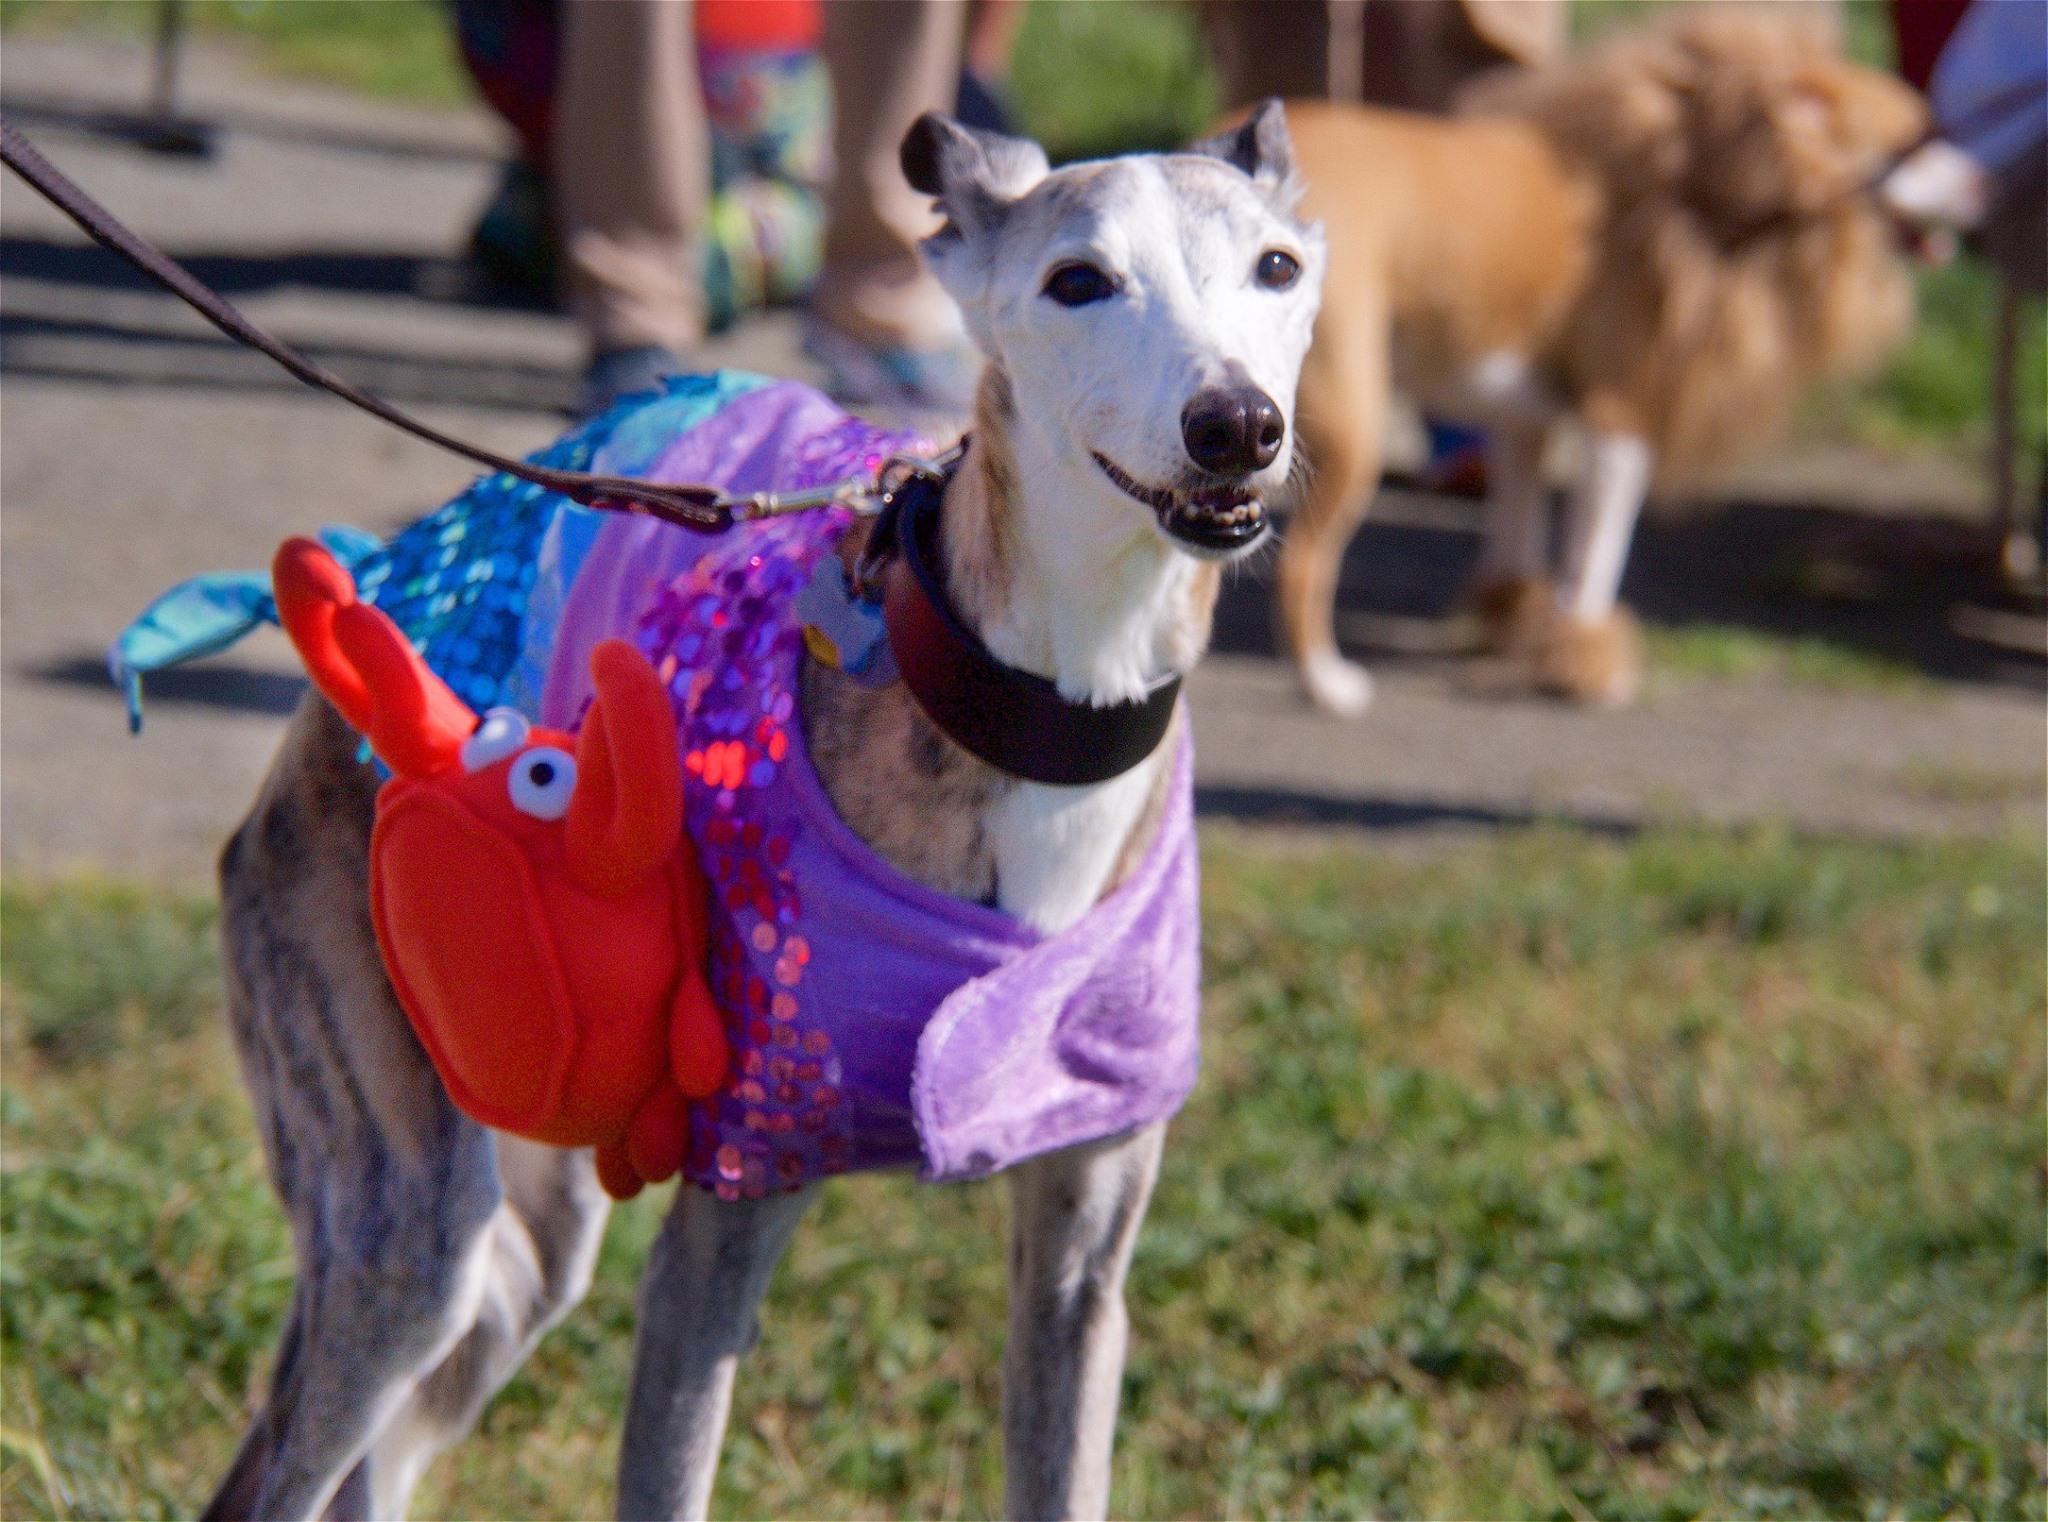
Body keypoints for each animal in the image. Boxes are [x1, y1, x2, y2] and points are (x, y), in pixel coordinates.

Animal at [203, 107, 1327, 1522]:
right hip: (402, 1213)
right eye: (1078, 280)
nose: (1235, 424)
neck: (1037, 705)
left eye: (1277, 266)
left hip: (527, 1243)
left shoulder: (1082, 1257)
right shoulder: (721, 1221)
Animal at [1277, 10, 1982, 712]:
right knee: (1302, 566)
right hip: (1352, 425)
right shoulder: (1620, 424)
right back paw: (1328, 683)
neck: (1696, 179)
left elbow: (1516, 534)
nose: (1987, 183)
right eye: (1918, 141)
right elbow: (1595, 562)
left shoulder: (1524, 424)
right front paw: (1590, 667)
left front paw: (1513, 624)